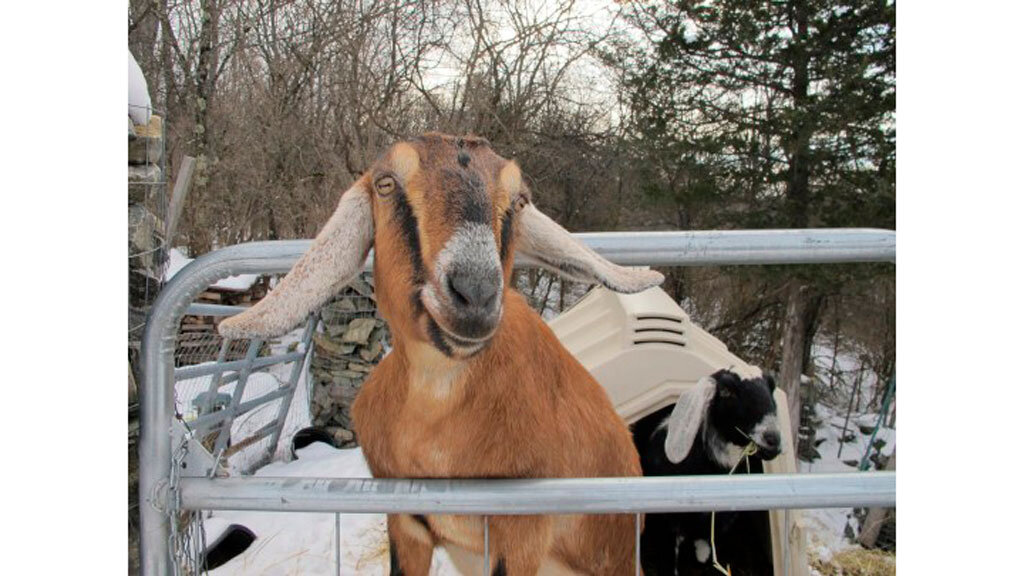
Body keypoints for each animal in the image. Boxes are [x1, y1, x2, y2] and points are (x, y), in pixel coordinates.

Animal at [219, 132, 659, 569]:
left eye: (519, 200)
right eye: (385, 184)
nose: (475, 293)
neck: (433, 412)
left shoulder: (524, 532)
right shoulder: (406, 520)